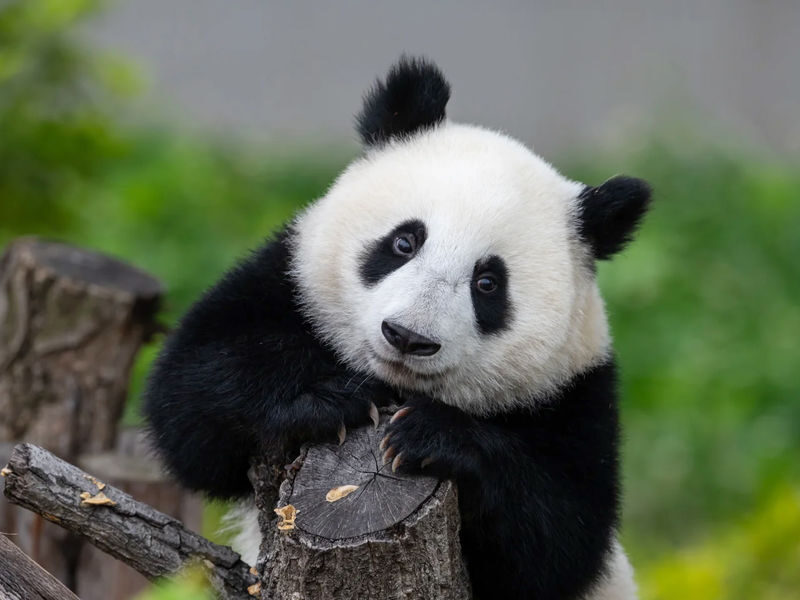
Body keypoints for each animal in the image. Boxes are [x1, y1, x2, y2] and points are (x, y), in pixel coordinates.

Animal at [144, 57, 651, 600]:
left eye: (488, 283)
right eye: (404, 242)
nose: (408, 337)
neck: (396, 385)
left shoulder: (575, 393)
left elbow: (558, 538)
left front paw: (428, 437)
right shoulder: (286, 282)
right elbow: (191, 402)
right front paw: (331, 400)